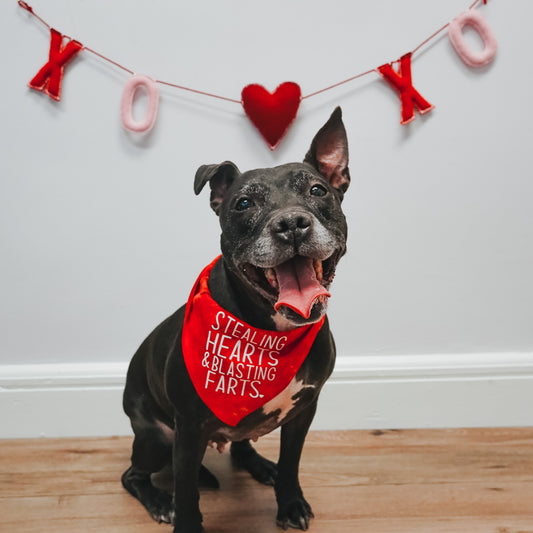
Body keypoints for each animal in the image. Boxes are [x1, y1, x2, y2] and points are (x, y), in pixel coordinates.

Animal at [122, 107, 352, 532]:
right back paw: (160, 501)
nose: (292, 224)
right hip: (157, 438)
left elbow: (292, 462)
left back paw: (261, 466)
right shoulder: (188, 429)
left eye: (317, 191)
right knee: (134, 475)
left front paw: (289, 501)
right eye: (243, 203)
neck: (269, 331)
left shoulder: (303, 412)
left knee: (240, 447)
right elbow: (187, 494)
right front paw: (185, 521)